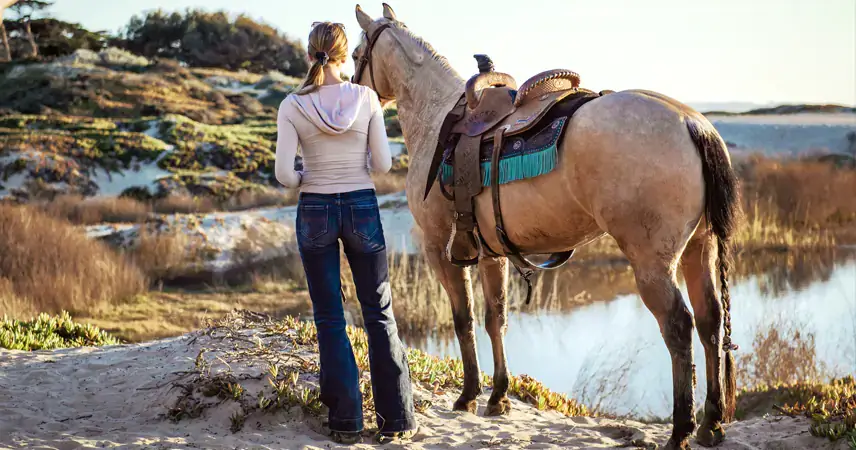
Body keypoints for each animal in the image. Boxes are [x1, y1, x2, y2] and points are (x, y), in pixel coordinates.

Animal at [352, 4, 740, 450]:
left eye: (356, 54)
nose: (354, 90)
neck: (437, 119)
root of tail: (692, 123)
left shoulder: (439, 249)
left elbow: (463, 319)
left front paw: (468, 396)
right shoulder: (491, 255)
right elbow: (496, 318)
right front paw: (498, 397)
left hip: (652, 265)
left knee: (679, 328)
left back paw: (680, 431)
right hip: (699, 249)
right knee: (711, 321)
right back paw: (711, 422)